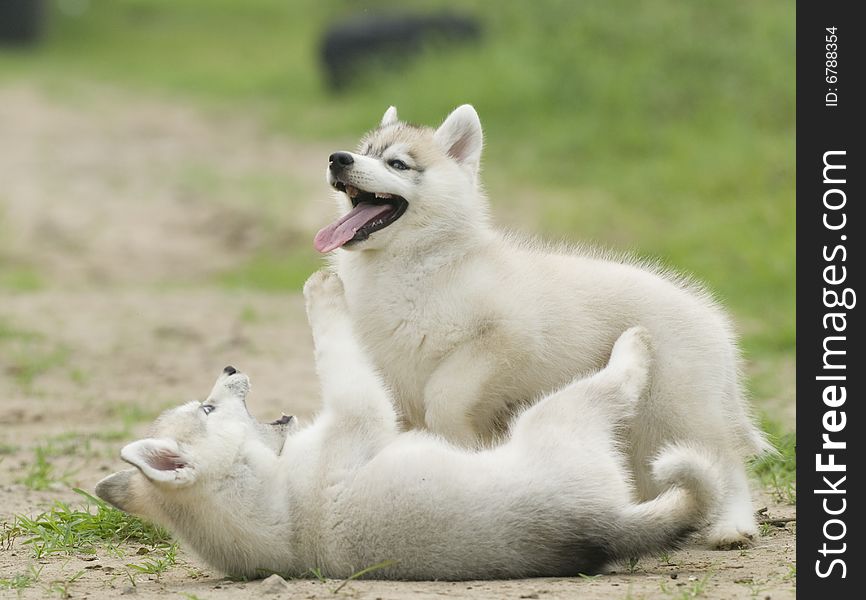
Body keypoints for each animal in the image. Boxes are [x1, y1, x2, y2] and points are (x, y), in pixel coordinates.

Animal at [94, 272, 720, 580]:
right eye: (205, 409)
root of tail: (602, 527)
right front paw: (323, 290)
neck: (276, 501)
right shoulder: (360, 405)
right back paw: (634, 343)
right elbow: (335, 349)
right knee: (617, 384)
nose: (228, 368)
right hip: (558, 415)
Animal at [312, 104, 768, 548]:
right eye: (366, 151)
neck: (415, 264)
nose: (338, 158)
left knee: (726, 462)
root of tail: (710, 315)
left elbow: (444, 394)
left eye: (397, 163)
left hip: (678, 407)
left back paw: (733, 526)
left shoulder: (507, 337)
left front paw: (455, 441)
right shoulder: (395, 374)